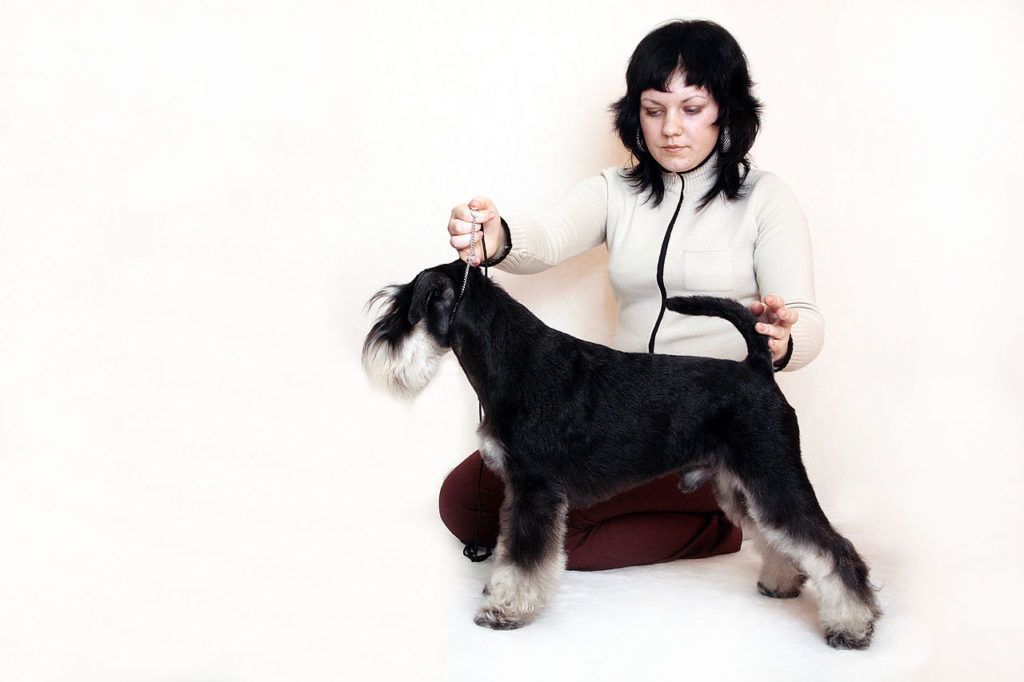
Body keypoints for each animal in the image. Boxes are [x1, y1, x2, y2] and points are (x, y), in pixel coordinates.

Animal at [362, 260, 881, 649]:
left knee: (831, 547)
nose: (376, 348)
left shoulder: (535, 490)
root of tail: (758, 366)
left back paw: (852, 625)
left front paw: (504, 609)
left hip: (772, 474)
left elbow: (524, 556)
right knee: (779, 537)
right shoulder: (518, 490)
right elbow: (510, 545)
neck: (513, 360)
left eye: (401, 308)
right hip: (741, 485)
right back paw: (782, 582)